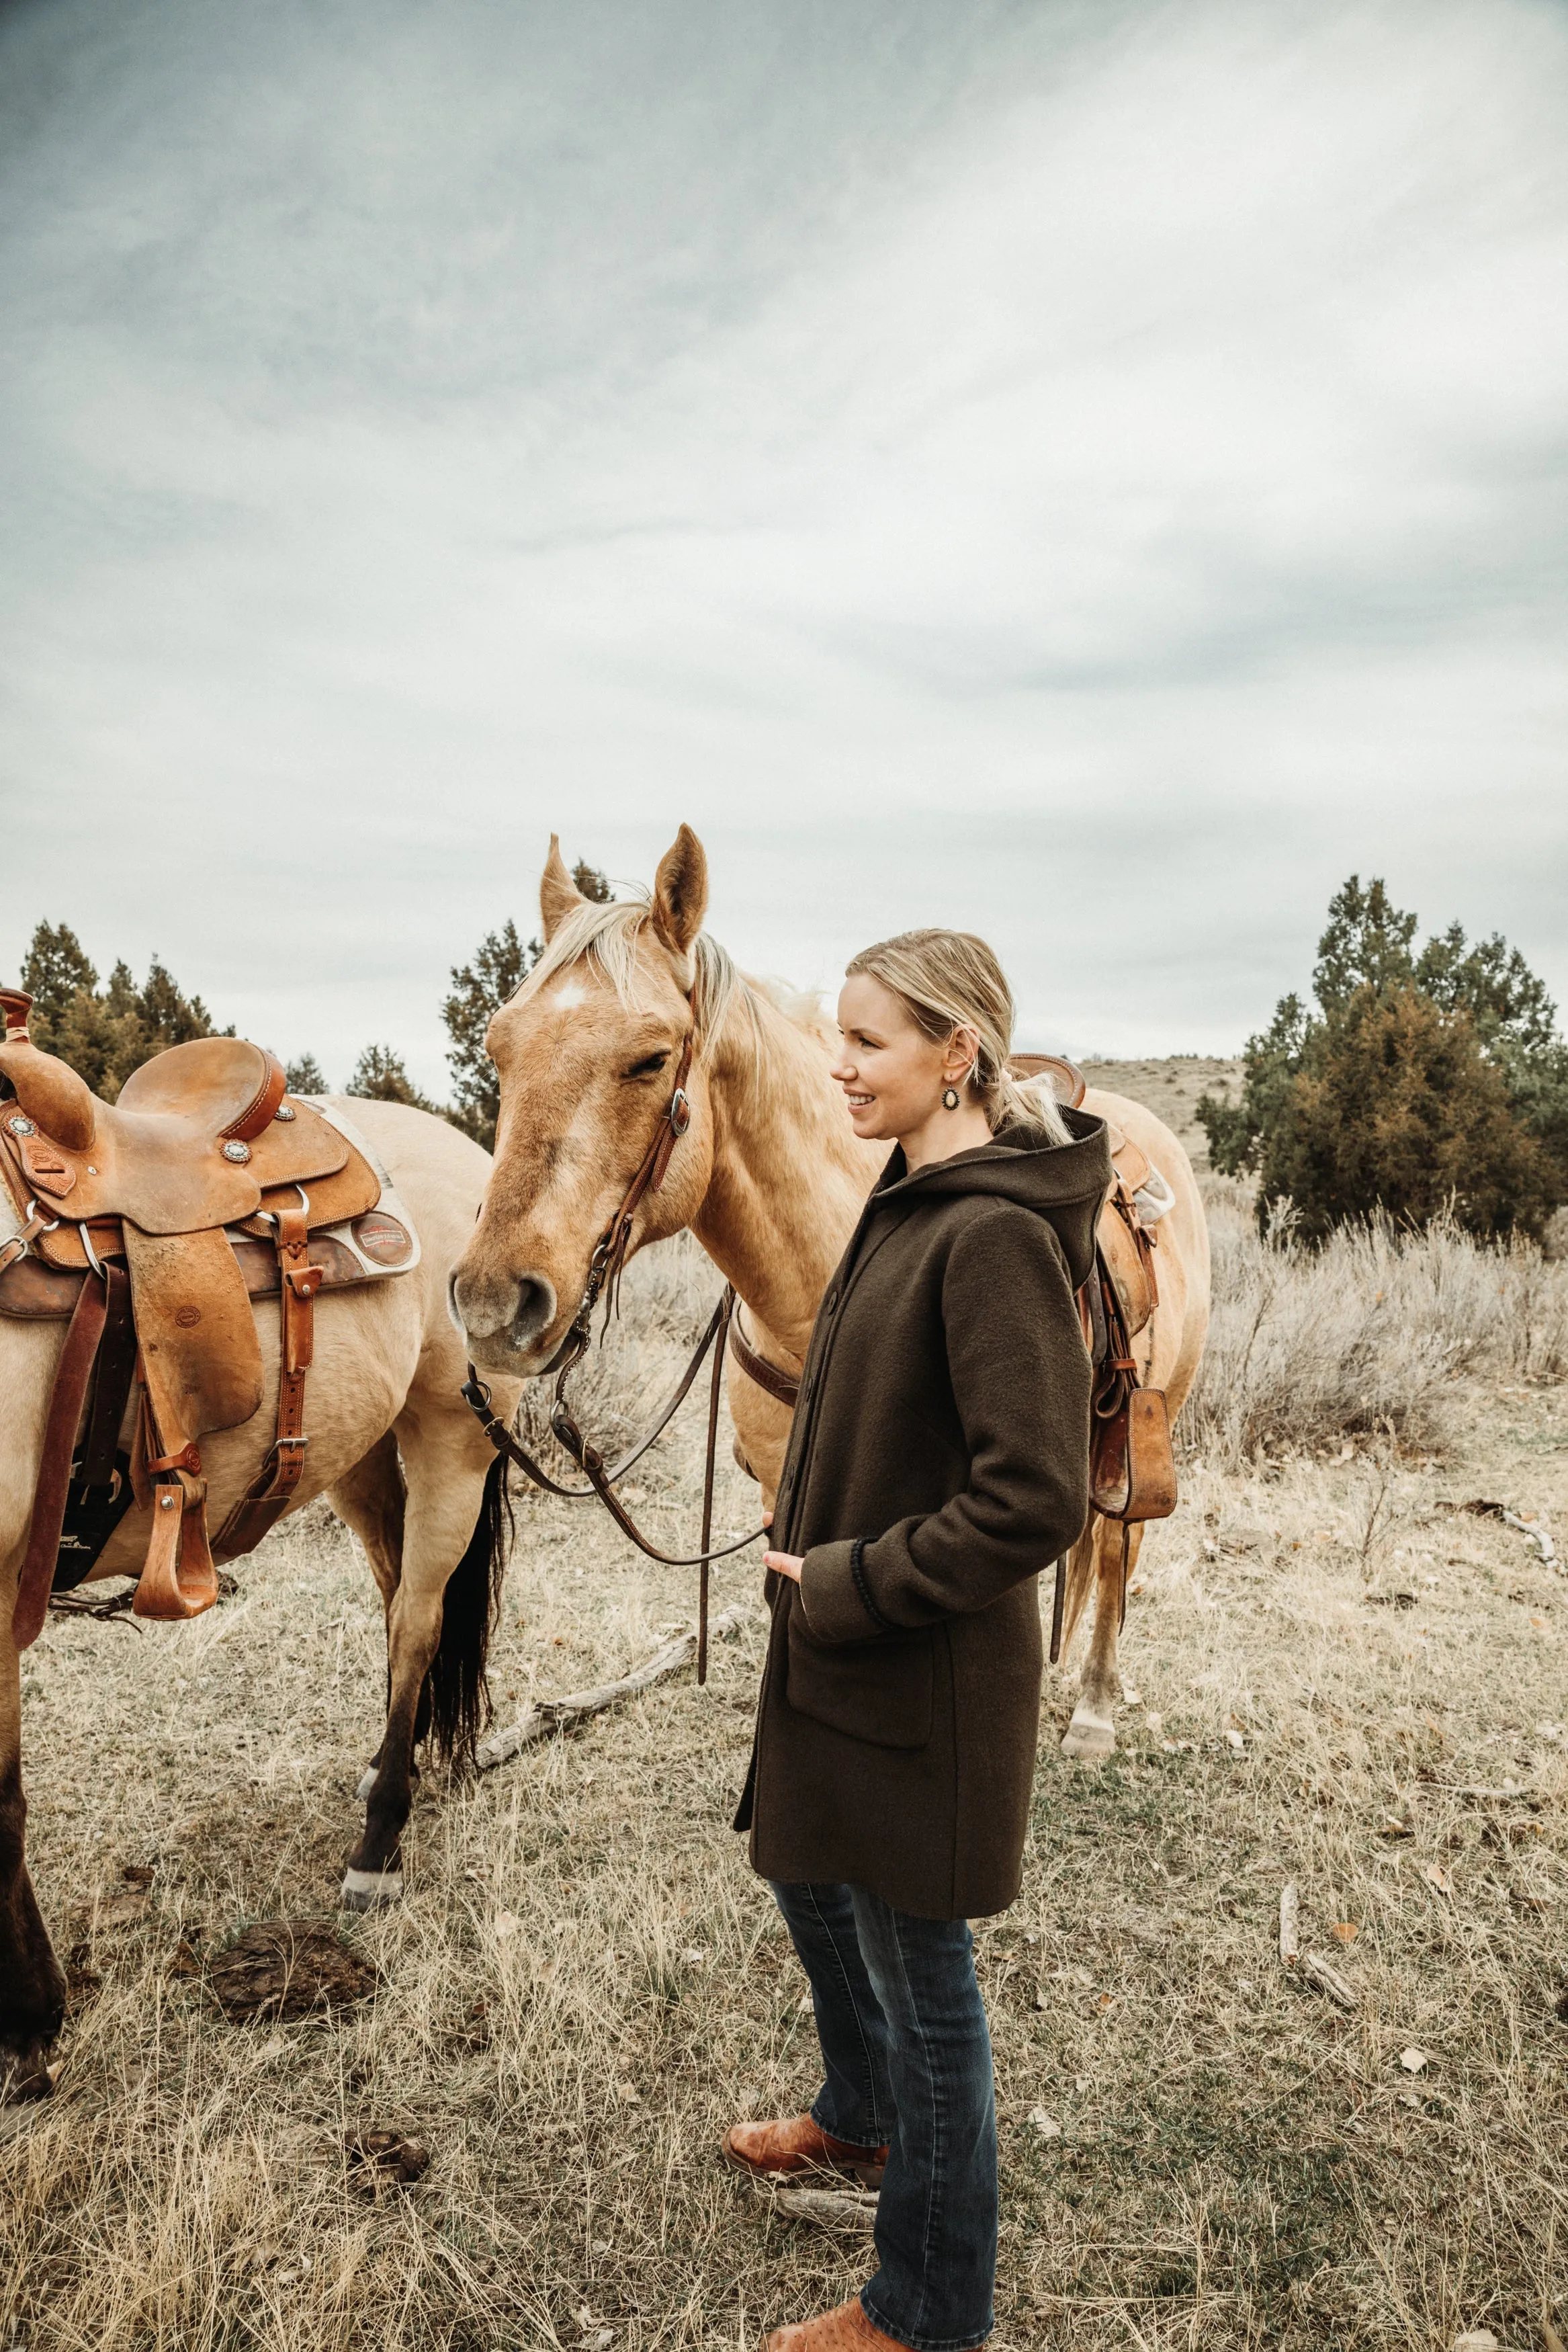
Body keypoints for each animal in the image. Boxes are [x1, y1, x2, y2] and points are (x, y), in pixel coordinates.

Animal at [0, 1101, 526, 2098]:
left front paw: (30, 2023)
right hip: (358, 1449)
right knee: (395, 1593)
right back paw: (386, 1764)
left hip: (453, 1434)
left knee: (417, 1622)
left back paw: (378, 1844)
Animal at [453, 828, 1213, 1769]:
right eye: (499, 1046)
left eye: (652, 1058)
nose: (492, 1304)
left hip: (1148, 1426)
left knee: (1115, 1549)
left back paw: (1098, 1706)